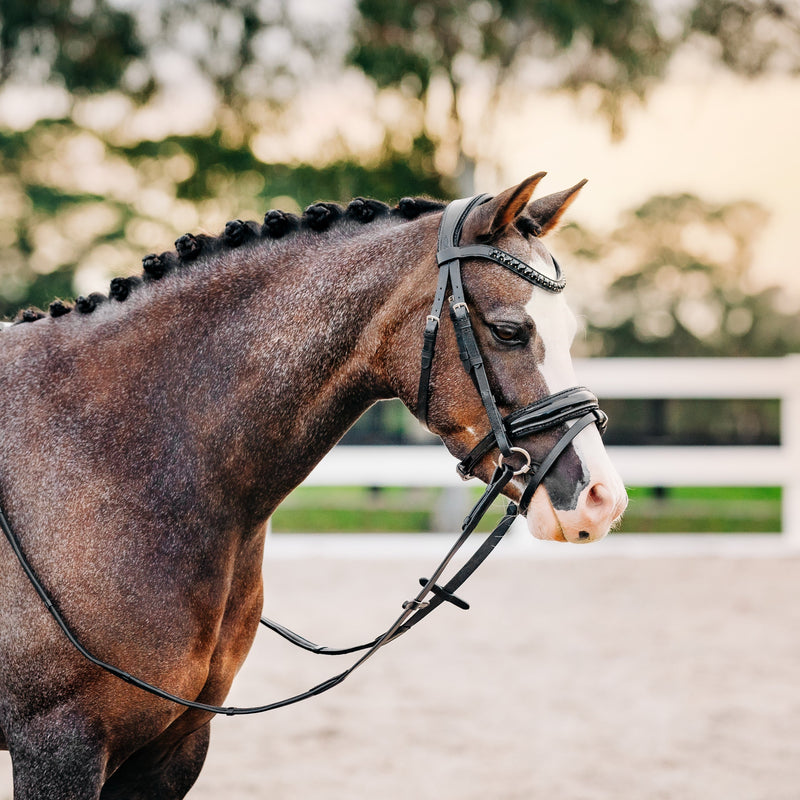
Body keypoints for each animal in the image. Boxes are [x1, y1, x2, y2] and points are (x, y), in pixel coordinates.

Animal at [0, 172, 624, 796]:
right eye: (509, 330)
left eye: (571, 331)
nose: (602, 500)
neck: (119, 456)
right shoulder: (61, 747)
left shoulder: (172, 747)